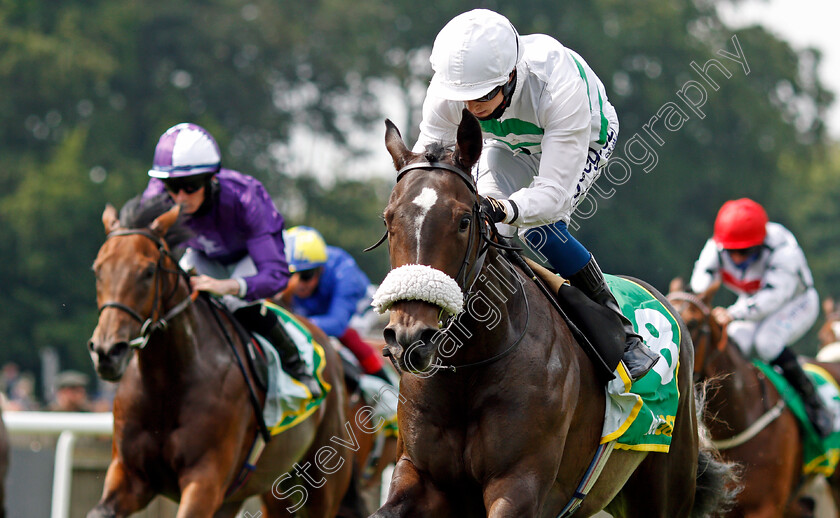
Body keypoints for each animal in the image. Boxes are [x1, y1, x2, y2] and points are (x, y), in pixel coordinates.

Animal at [87, 200, 362, 518]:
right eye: (98, 270)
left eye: (147, 271)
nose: (107, 351)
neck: (167, 383)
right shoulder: (129, 476)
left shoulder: (205, 480)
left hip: (322, 478)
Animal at [370, 109, 736, 518]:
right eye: (388, 220)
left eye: (463, 221)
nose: (409, 338)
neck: (468, 371)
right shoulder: (418, 476)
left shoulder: (520, 483)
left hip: (664, 486)